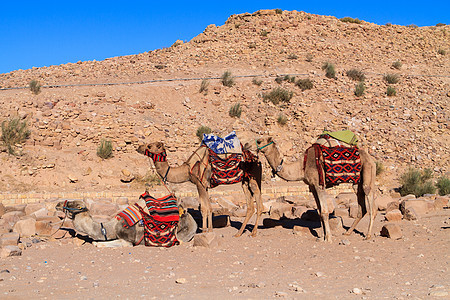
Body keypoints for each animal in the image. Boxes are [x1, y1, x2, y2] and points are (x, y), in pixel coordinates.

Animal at [55, 198, 196, 247]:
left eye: (73, 204)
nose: (58, 204)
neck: (112, 227)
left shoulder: (128, 240)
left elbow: (99, 243)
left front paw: (96, 243)